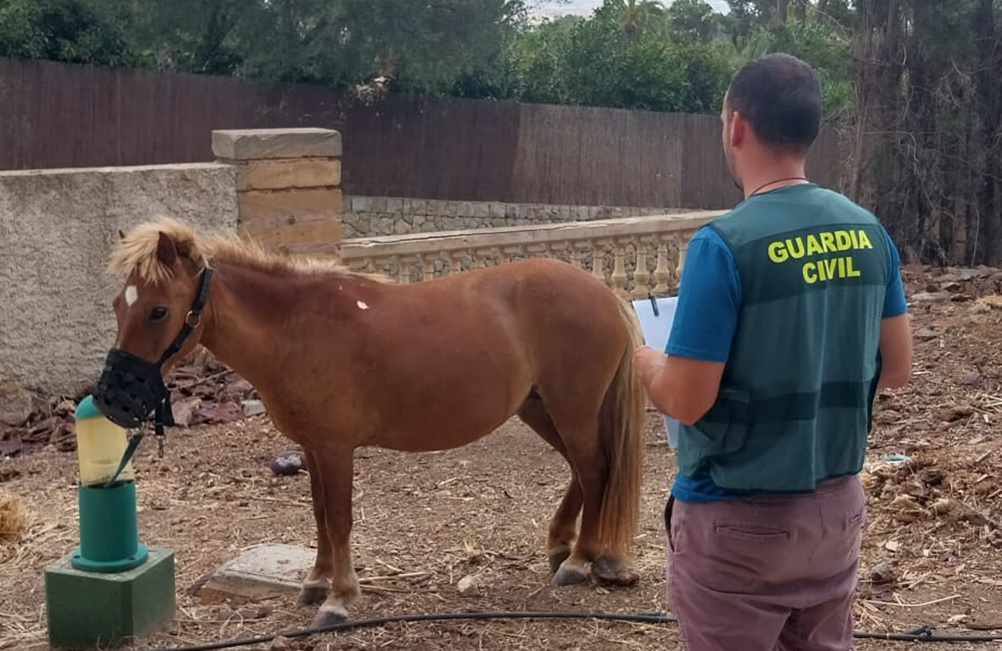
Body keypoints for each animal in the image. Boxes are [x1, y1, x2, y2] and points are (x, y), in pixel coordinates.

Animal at [95, 216, 647, 627]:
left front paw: (339, 600)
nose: (111, 399)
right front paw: (316, 583)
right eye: (118, 304)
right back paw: (563, 547)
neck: (296, 328)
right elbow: (320, 516)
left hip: (572, 408)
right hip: (540, 409)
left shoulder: (336, 448)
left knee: (594, 469)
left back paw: (579, 559)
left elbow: (339, 520)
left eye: (158, 310)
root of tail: (603, 293)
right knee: (582, 471)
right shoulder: (313, 448)